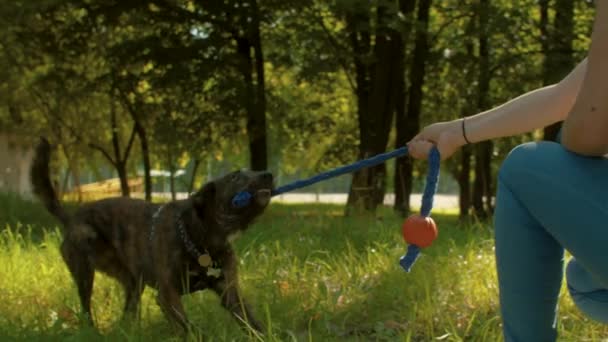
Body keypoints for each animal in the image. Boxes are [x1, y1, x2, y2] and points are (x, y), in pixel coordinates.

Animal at [30, 137, 274, 334]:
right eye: (235, 178)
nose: (268, 174)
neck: (203, 241)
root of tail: (71, 218)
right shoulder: (167, 295)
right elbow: (190, 329)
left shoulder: (230, 293)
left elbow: (252, 323)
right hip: (84, 271)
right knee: (86, 309)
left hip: (132, 283)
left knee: (127, 314)